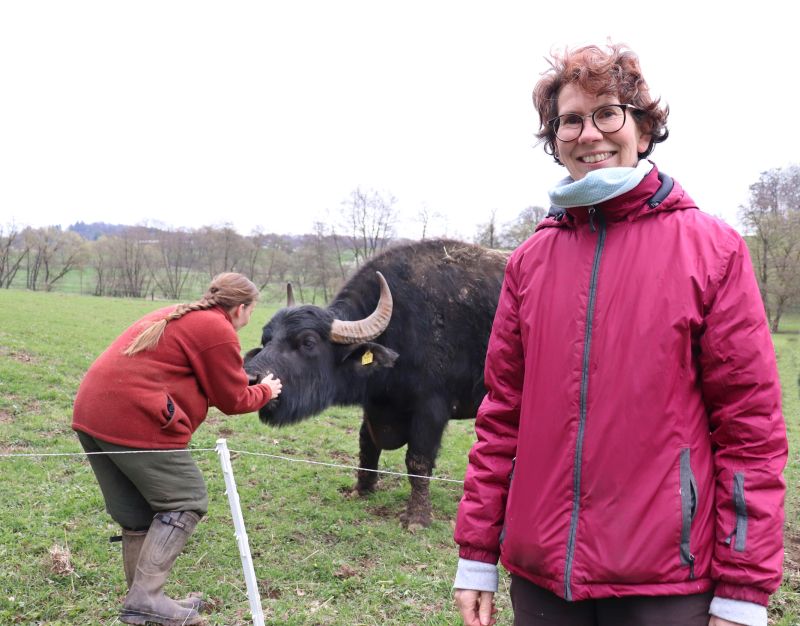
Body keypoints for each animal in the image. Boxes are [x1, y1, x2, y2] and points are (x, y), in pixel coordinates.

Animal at [244, 239, 506, 528]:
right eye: (266, 338)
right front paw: (362, 490)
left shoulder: (431, 409)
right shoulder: (375, 406)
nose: (251, 378)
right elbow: (367, 447)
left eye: (308, 342)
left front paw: (417, 517)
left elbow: (418, 461)